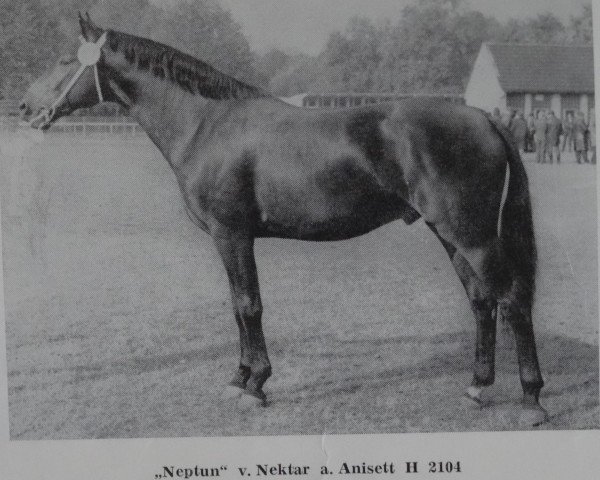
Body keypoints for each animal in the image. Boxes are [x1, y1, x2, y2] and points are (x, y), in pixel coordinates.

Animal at [19, 14, 548, 424]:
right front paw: (239, 378)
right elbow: (237, 307)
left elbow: (249, 304)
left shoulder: (232, 234)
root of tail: (483, 117)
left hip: (472, 235)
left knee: (512, 302)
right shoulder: (230, 239)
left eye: (65, 60)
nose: (24, 107)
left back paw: (531, 400)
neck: (207, 124)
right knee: (482, 301)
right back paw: (477, 387)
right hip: (451, 233)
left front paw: (255, 385)